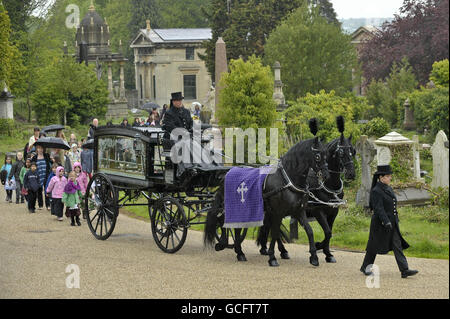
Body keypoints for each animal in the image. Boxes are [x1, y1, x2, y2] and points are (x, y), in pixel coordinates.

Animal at [205, 119, 330, 268]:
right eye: (317, 156)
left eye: (326, 155)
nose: (326, 175)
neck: (287, 179)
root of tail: (227, 173)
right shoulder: (278, 213)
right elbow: (275, 234)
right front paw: (272, 257)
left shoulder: (298, 211)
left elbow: (309, 231)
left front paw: (314, 257)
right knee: (225, 223)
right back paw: (231, 247)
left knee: (236, 227)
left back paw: (239, 251)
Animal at [258, 116, 356, 266]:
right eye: (340, 152)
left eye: (353, 151)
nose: (351, 174)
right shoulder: (317, 210)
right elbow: (327, 232)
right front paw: (319, 247)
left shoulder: (333, 211)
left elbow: (329, 232)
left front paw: (326, 253)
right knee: (273, 228)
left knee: (270, 227)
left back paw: (273, 249)